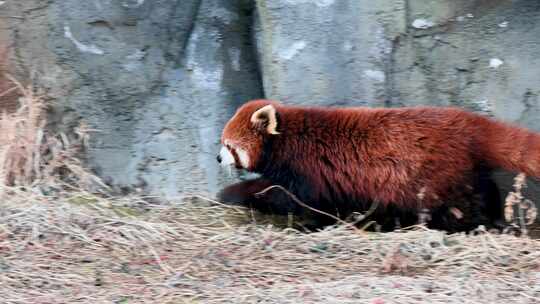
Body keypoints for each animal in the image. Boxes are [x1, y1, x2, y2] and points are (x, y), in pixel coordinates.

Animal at [217, 100, 536, 230]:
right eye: (221, 141)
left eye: (229, 145)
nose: (218, 158)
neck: (288, 138)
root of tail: (468, 123)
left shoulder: (308, 172)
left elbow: (295, 200)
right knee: (484, 188)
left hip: (439, 177)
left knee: (460, 207)